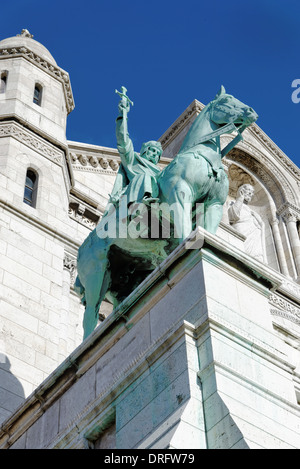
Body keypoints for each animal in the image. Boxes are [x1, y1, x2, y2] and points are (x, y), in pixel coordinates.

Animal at [74, 87, 258, 336]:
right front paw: (123, 108)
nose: (251, 112)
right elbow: (184, 232)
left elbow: (207, 232)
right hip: (95, 275)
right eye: (227, 101)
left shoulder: (215, 205)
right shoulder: (180, 196)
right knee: (89, 318)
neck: (201, 156)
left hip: (120, 279)